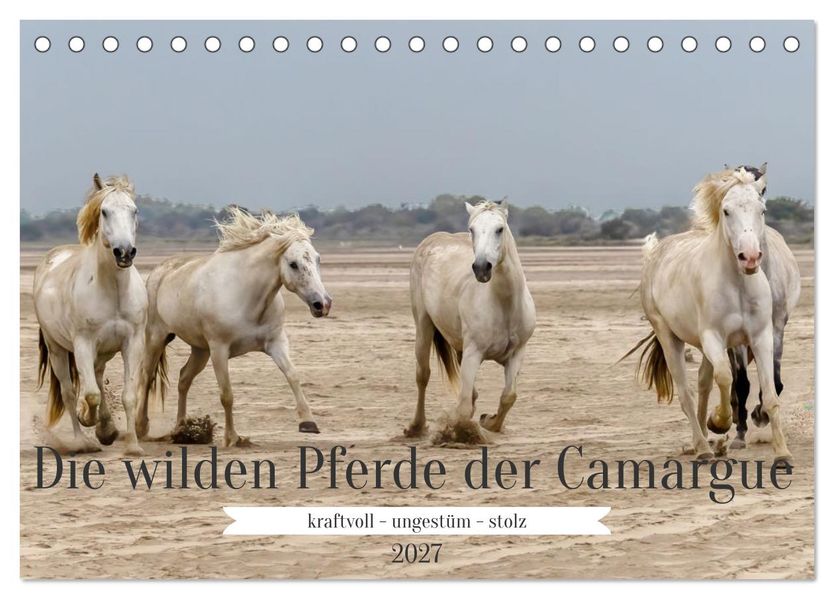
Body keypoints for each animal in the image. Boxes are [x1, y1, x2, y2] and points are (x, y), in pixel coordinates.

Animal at [34, 174, 147, 455]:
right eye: (104, 211)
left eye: (135, 211)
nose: (124, 252)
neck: (113, 290)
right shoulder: (83, 343)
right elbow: (90, 394)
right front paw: (87, 419)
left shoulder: (133, 342)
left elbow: (129, 395)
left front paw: (132, 446)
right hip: (57, 349)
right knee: (69, 392)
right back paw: (83, 441)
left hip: (102, 351)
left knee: (95, 376)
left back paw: (106, 429)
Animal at [139, 207, 332, 447]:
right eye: (293, 264)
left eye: (317, 259)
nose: (322, 304)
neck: (247, 296)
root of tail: (159, 272)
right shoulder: (219, 350)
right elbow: (227, 394)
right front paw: (232, 438)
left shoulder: (276, 343)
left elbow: (293, 375)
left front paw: (308, 422)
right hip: (157, 338)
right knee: (147, 377)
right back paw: (141, 428)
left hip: (200, 350)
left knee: (184, 379)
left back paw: (182, 429)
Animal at [405, 199, 536, 439]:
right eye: (472, 229)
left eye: (499, 229)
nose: (482, 268)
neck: (504, 305)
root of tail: (433, 239)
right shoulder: (473, 353)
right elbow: (464, 405)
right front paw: (459, 434)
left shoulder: (516, 354)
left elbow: (508, 396)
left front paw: (489, 422)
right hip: (423, 326)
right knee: (423, 375)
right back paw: (416, 426)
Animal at [629, 166, 791, 462]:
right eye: (726, 211)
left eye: (761, 209)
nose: (750, 257)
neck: (737, 285)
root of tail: (656, 252)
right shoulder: (714, 337)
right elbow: (725, 378)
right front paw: (719, 422)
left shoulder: (760, 336)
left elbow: (770, 393)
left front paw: (782, 453)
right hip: (669, 336)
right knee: (687, 393)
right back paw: (703, 448)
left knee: (703, 383)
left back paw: (702, 441)